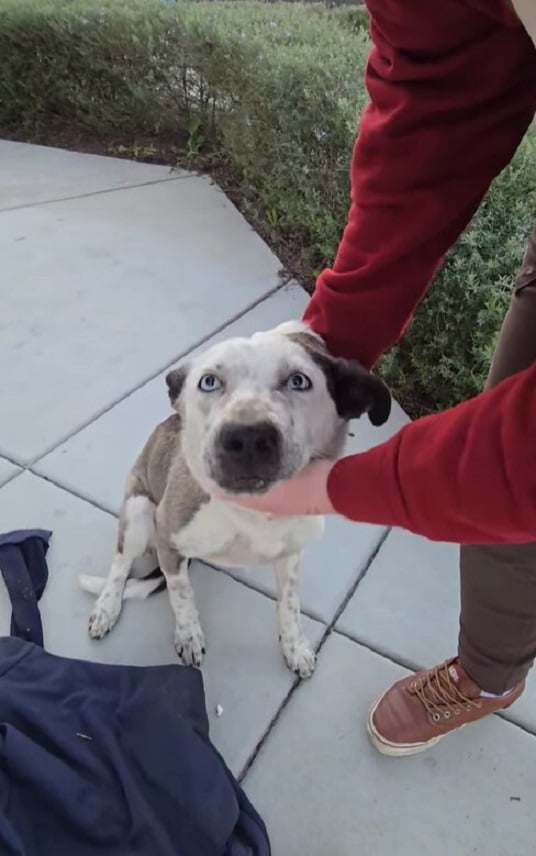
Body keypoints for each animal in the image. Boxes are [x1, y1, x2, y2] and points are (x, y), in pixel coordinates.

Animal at [78, 320, 390, 676]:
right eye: (209, 381)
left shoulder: (291, 554)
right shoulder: (169, 540)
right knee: (120, 565)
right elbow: (181, 595)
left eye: (298, 380)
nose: (248, 437)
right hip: (139, 512)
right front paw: (188, 634)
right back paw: (106, 607)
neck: (254, 512)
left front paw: (294, 646)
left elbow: (290, 604)